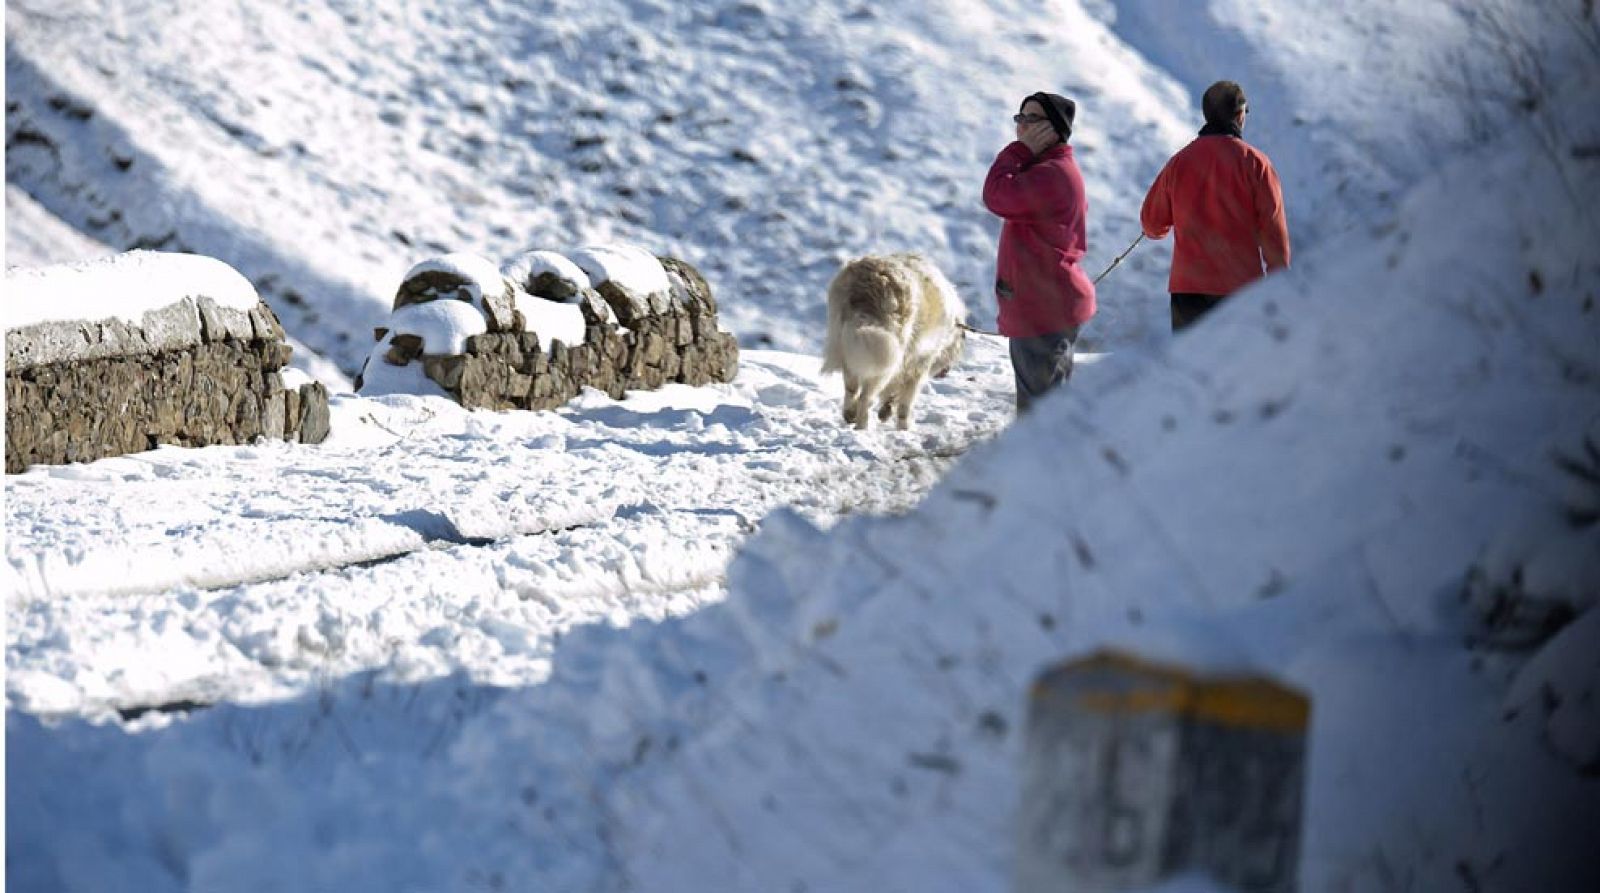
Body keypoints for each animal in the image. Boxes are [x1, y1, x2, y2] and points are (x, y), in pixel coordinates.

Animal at [819, 254, 966, 432]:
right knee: (865, 397)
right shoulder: (919, 364)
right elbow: (905, 402)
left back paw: (850, 414)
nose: (946, 370)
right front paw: (903, 427)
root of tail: (871, 280)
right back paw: (862, 427)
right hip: (887, 357)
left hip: (848, 344)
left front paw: (886, 410)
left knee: (851, 388)